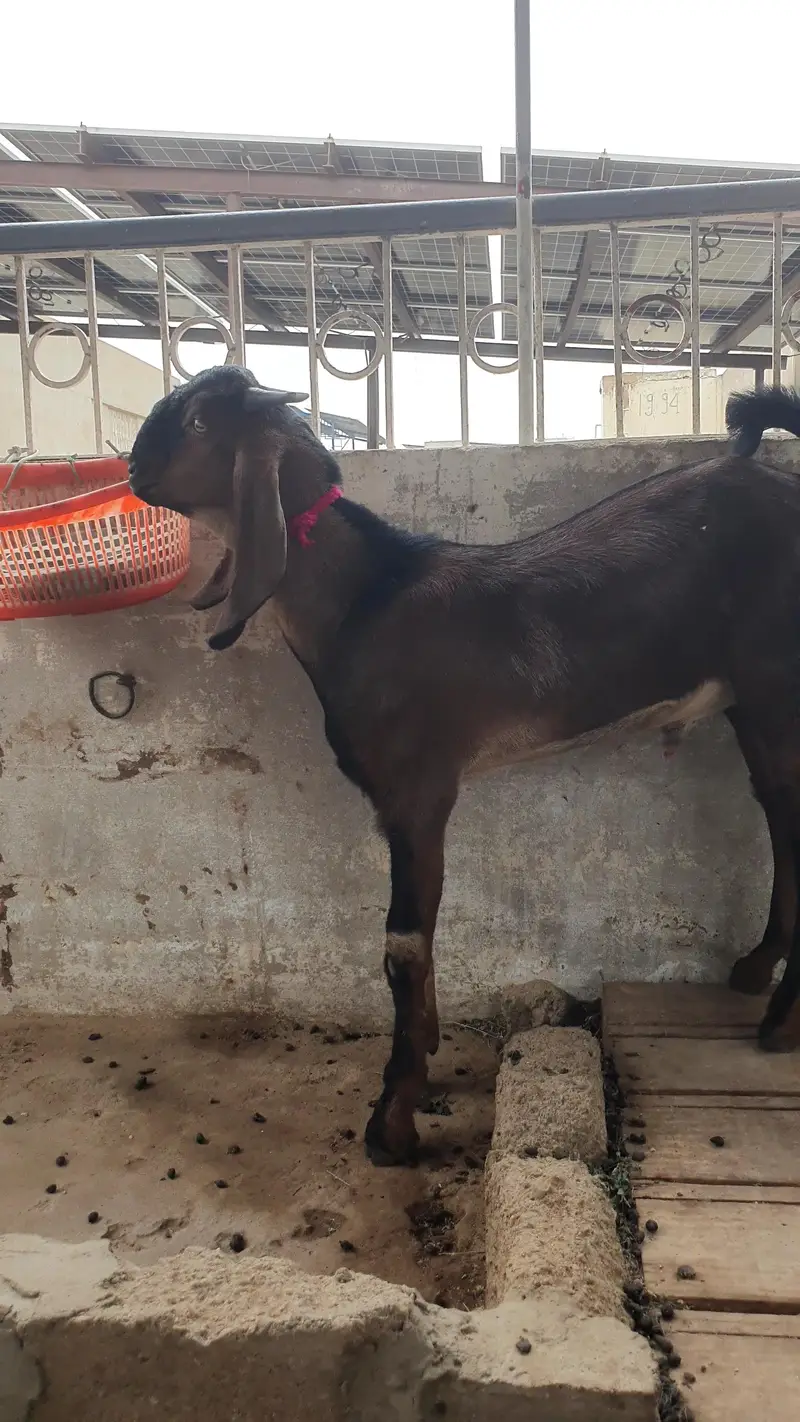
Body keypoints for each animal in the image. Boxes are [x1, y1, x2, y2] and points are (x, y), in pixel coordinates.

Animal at [129, 367, 800, 1166]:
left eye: (200, 422)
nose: (131, 469)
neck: (363, 604)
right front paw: (425, 1049)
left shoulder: (416, 789)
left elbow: (402, 946)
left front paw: (392, 1119)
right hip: (752, 702)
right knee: (778, 812)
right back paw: (755, 970)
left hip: (777, 681)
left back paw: (780, 1024)